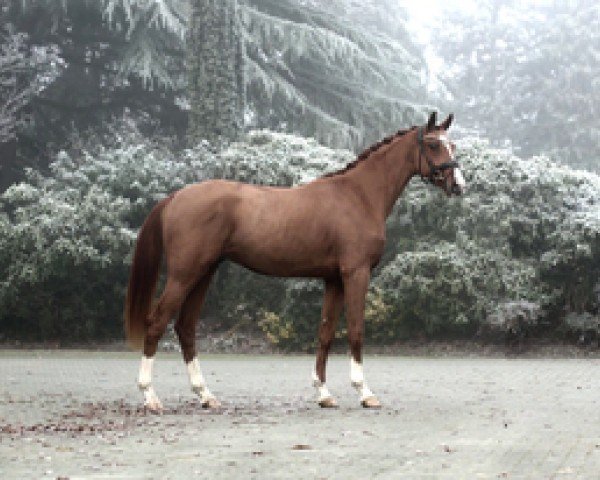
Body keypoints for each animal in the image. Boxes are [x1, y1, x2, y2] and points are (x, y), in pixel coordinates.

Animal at [124, 111, 466, 408]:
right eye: (433, 144)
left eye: (452, 145)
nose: (459, 185)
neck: (359, 195)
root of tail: (174, 197)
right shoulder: (356, 273)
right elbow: (356, 330)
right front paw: (365, 393)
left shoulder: (334, 279)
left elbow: (326, 333)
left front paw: (324, 394)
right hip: (184, 274)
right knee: (157, 323)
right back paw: (150, 396)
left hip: (203, 273)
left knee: (186, 327)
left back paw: (205, 395)